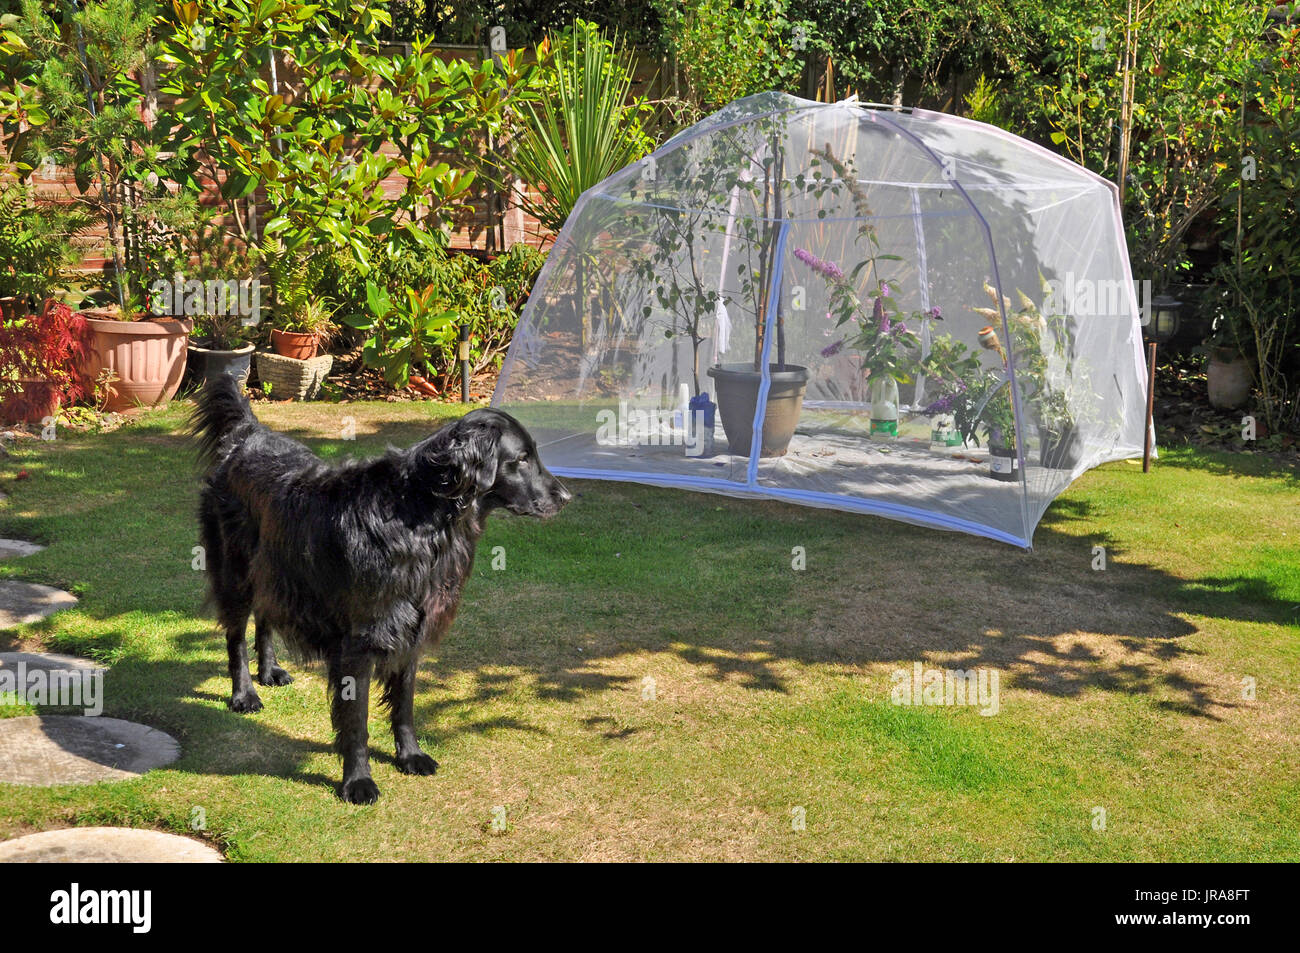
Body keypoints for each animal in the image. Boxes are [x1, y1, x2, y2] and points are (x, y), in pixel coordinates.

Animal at [191, 374, 569, 800]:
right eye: (521, 459)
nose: (566, 497)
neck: (422, 516)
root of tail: (247, 433)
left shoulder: (411, 629)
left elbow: (404, 705)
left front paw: (410, 755)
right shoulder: (360, 640)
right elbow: (356, 720)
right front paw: (357, 780)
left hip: (276, 567)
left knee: (266, 614)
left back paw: (269, 671)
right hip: (235, 570)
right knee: (236, 635)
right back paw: (244, 693)